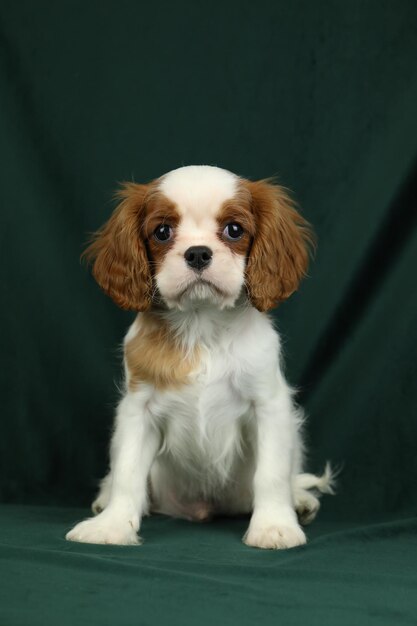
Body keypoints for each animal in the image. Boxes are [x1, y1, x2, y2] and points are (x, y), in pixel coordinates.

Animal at [66, 165, 332, 544]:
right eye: (162, 232)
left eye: (234, 230)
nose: (197, 253)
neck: (202, 323)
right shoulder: (137, 409)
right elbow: (128, 471)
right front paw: (112, 526)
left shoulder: (269, 405)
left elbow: (272, 473)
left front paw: (273, 526)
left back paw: (299, 499)